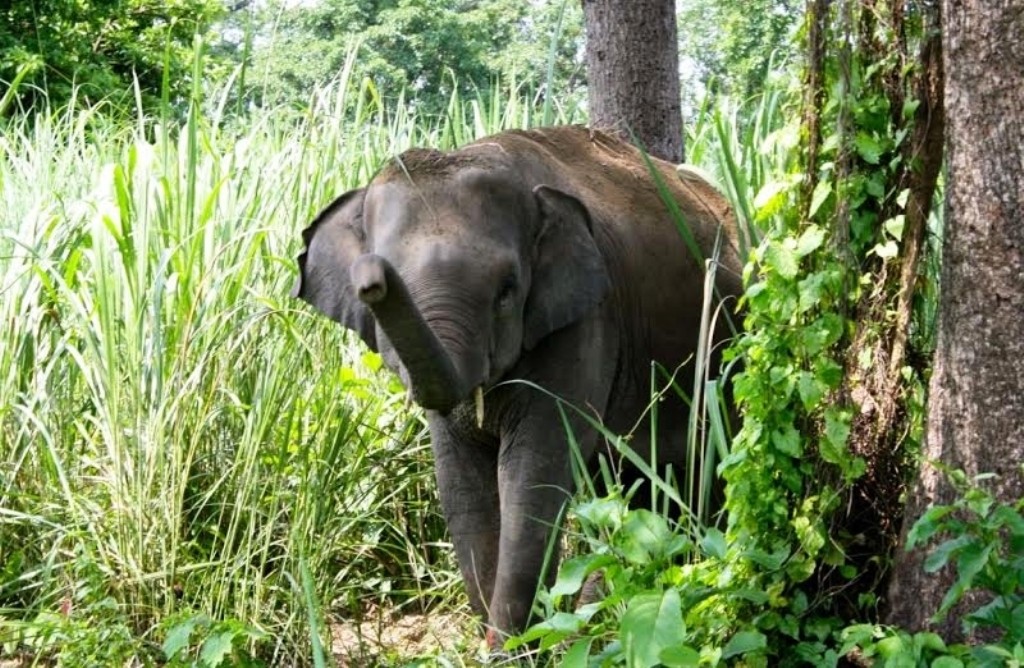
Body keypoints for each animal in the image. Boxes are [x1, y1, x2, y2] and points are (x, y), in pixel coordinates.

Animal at [292, 123, 741, 647]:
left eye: (507, 292)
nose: (370, 279)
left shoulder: (584, 320)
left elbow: (533, 473)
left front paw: (514, 646)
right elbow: (460, 480)